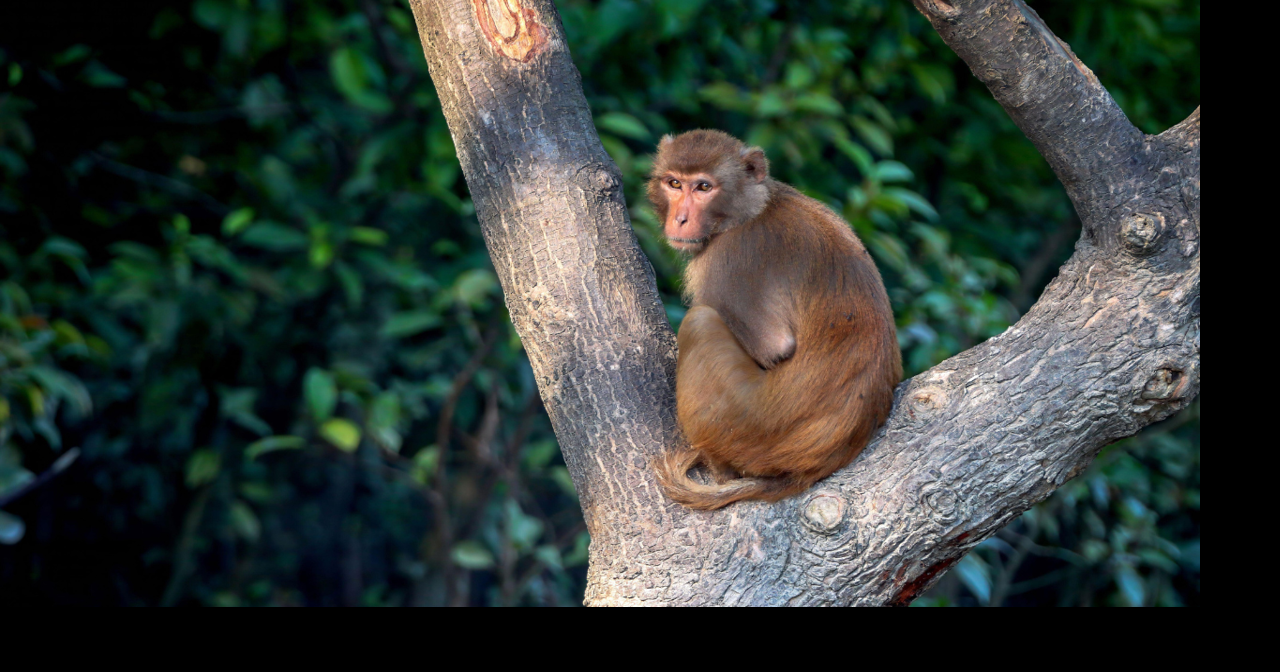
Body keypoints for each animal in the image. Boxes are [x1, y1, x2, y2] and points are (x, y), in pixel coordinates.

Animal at [649, 129, 902, 510]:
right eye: (674, 183)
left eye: (704, 187)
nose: (679, 219)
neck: (752, 209)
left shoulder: (729, 261)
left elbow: (775, 348)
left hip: (745, 425)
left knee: (700, 322)